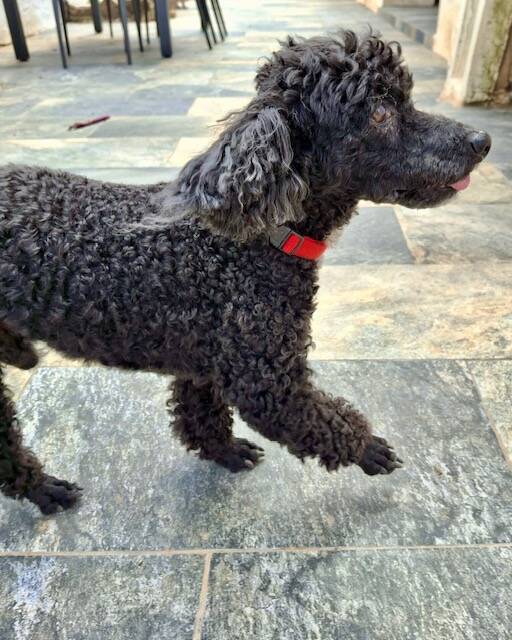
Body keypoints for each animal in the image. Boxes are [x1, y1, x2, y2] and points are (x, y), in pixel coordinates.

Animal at [0, 31, 491, 514]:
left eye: (406, 98)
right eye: (380, 112)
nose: (483, 140)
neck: (257, 236)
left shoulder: (206, 355)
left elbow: (201, 413)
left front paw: (226, 452)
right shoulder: (265, 377)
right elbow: (322, 420)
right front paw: (369, 448)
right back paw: (44, 489)